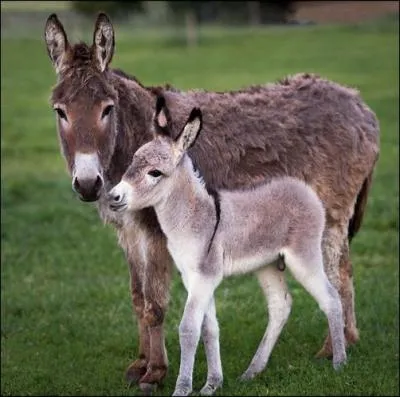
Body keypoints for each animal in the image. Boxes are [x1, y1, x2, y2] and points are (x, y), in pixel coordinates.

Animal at [107, 95, 346, 392]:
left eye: (155, 173)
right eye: (132, 161)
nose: (113, 197)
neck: (194, 218)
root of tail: (302, 188)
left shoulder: (205, 277)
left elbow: (189, 328)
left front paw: (182, 388)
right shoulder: (193, 278)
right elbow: (209, 329)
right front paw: (212, 384)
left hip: (303, 256)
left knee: (331, 298)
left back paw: (339, 363)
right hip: (267, 264)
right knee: (280, 306)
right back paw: (253, 371)